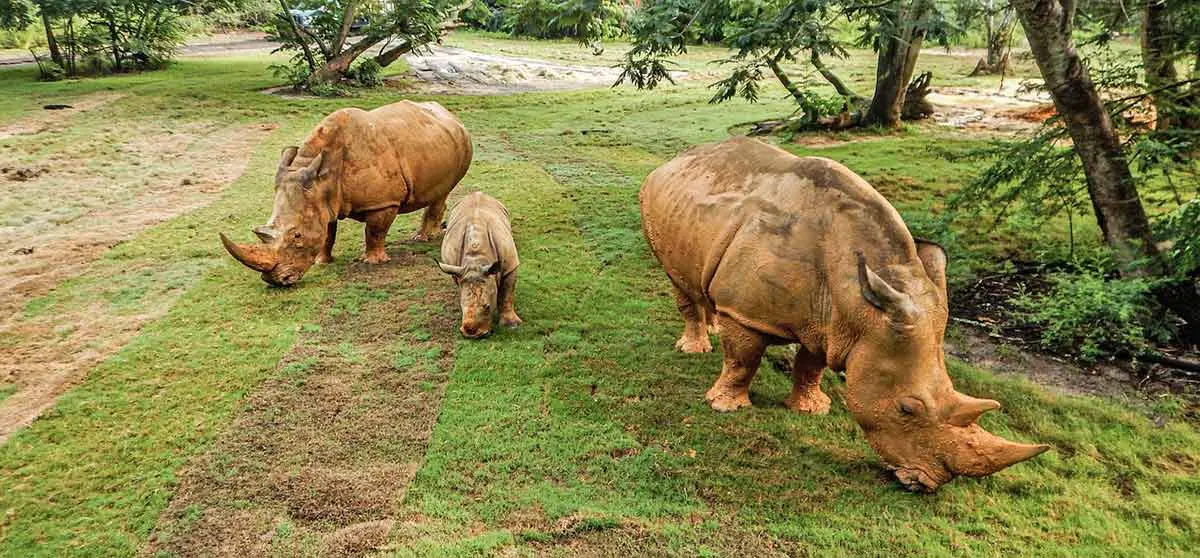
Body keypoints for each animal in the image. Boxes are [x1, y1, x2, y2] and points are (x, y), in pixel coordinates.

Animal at [223, 99, 470, 286]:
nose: (275, 281)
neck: (322, 177)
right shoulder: (322, 200)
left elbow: (374, 231)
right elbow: (327, 233)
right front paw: (321, 262)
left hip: (460, 145)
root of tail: (450, 115)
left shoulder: (383, 202)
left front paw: (372, 262)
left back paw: (423, 238)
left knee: (443, 191)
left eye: (297, 236)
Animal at [436, 192, 520, 338]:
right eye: (461, 306)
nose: (471, 334)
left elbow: (507, 292)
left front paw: (512, 325)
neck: (477, 259)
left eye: (487, 306)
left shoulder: (510, 265)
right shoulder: (459, 270)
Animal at [643, 136, 1046, 489]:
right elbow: (743, 359)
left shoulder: (834, 327)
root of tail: (680, 158)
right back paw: (695, 348)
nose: (927, 484)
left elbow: (811, 366)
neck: (858, 300)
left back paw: (712, 327)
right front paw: (725, 407)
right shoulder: (747, 313)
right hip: (657, 202)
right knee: (677, 280)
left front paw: (810, 410)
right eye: (906, 409)